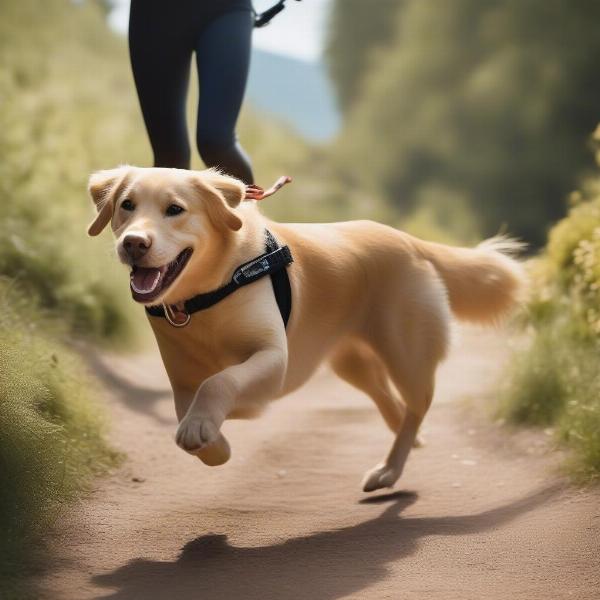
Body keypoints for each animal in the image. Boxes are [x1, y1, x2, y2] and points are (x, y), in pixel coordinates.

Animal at [86, 165, 524, 492]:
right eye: (127, 205)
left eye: (175, 209)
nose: (134, 243)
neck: (205, 296)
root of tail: (412, 241)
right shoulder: (181, 382)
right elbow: (191, 411)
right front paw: (215, 445)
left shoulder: (272, 360)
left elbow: (221, 382)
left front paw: (202, 429)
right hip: (352, 364)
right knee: (392, 404)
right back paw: (406, 445)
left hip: (407, 356)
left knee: (416, 406)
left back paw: (389, 470)